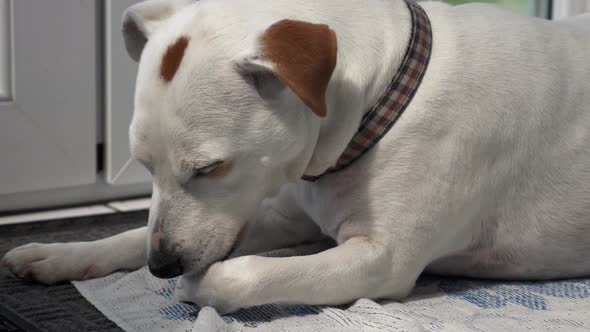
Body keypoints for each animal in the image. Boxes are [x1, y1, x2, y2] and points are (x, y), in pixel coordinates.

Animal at [3, 0, 590, 314]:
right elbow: (129, 233)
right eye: (143, 167)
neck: (384, 94)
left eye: (211, 168)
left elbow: (238, 273)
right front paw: (59, 255)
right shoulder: (284, 213)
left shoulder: (380, 260)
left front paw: (198, 286)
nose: (162, 265)